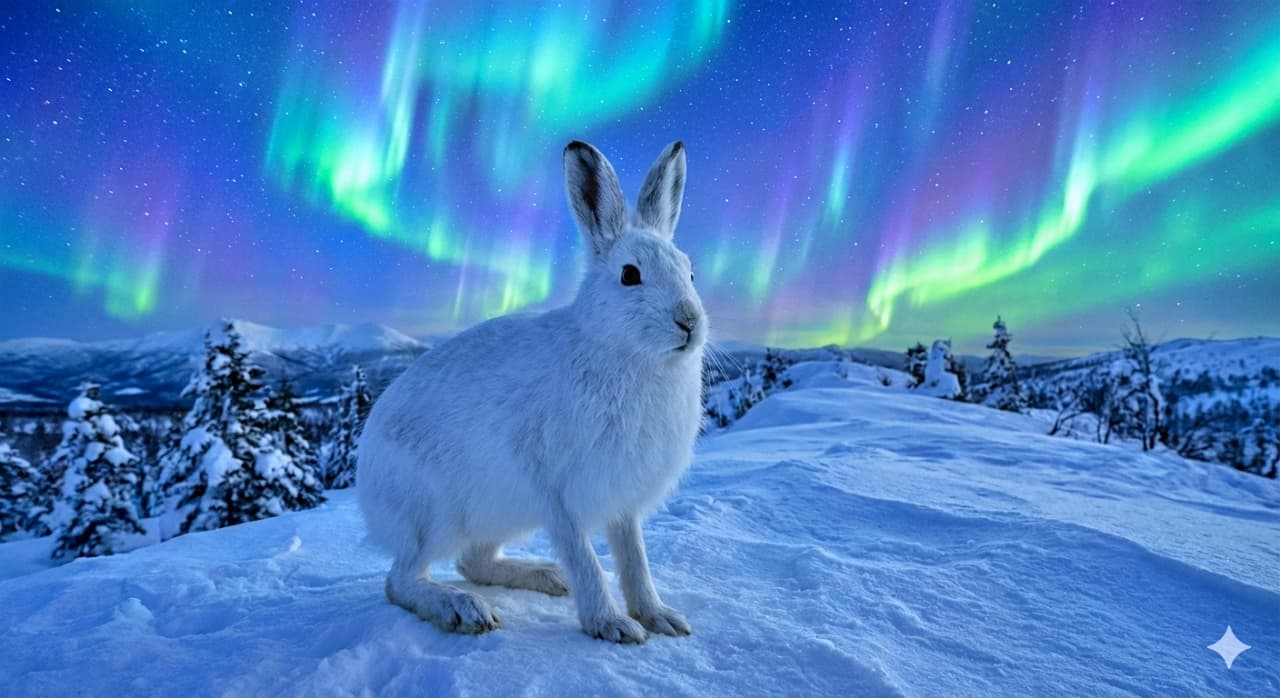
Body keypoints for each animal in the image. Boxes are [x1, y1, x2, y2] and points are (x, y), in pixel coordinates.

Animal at [357, 140, 705, 644]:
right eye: (629, 275)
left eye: (690, 273)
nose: (689, 323)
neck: (618, 351)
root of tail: (366, 488)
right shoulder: (556, 493)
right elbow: (585, 559)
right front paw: (611, 625)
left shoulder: (622, 502)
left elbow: (634, 559)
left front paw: (660, 616)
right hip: (436, 514)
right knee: (400, 579)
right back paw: (462, 609)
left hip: (496, 514)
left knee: (473, 561)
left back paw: (544, 575)